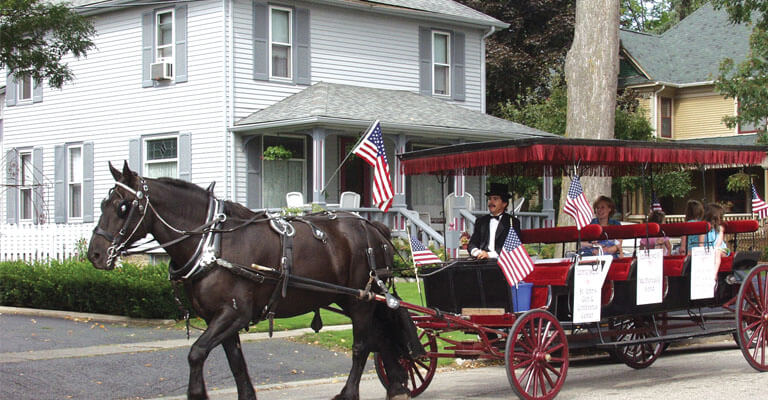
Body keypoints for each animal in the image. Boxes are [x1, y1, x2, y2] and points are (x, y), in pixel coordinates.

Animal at [88, 163, 420, 400]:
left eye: (123, 207)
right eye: (102, 204)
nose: (94, 254)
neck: (214, 244)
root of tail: (375, 227)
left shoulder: (234, 313)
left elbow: (196, 353)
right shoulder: (220, 318)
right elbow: (236, 363)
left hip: (360, 300)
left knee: (362, 345)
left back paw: (349, 393)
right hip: (351, 299)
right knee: (382, 337)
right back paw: (397, 386)